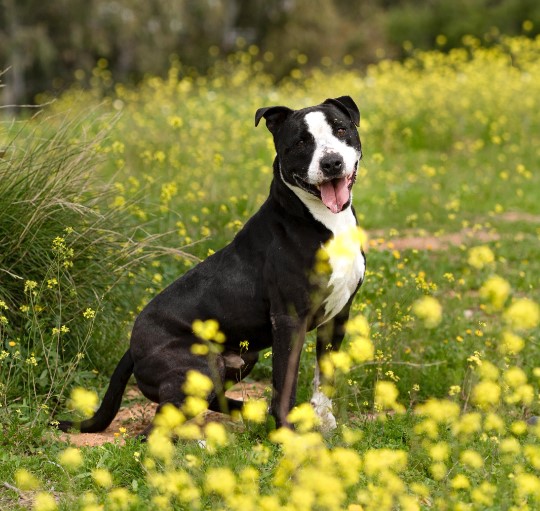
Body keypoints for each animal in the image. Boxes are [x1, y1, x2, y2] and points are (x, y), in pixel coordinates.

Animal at [57, 96, 364, 436]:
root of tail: (132, 348)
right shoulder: (289, 319)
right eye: (301, 142)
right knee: (154, 428)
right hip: (200, 366)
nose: (332, 162)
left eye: (341, 129)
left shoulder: (337, 315)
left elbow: (325, 377)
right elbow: (285, 383)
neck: (323, 221)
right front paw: (286, 432)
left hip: (242, 358)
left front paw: (325, 422)